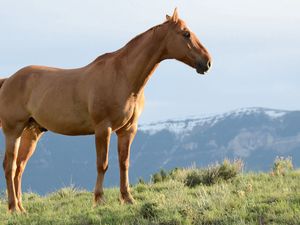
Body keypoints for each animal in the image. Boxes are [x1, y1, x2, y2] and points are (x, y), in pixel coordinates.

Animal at [0, 8, 212, 212]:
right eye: (186, 33)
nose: (207, 62)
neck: (123, 77)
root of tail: (8, 80)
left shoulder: (128, 130)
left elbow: (124, 163)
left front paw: (128, 198)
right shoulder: (103, 128)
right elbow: (102, 164)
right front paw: (99, 200)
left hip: (31, 133)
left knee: (19, 168)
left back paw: (21, 208)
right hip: (13, 131)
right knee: (9, 166)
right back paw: (13, 208)